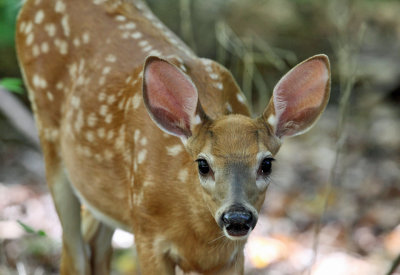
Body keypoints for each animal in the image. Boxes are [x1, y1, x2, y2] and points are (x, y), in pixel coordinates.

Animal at [14, 0, 330, 274]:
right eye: (203, 164)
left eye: (267, 164)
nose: (237, 217)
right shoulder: (147, 234)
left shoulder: (232, 255)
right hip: (49, 137)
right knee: (74, 253)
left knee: (95, 244)